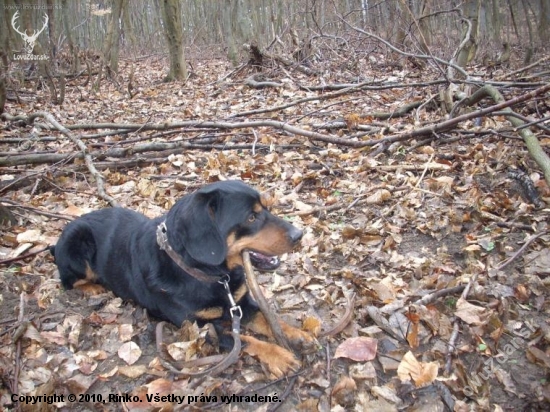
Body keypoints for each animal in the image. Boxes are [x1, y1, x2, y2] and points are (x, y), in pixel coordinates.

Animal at [51, 180, 314, 376]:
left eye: (266, 208)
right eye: (251, 217)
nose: (299, 234)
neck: (214, 276)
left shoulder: (240, 304)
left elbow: (268, 318)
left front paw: (296, 335)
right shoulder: (201, 327)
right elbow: (246, 339)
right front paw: (279, 355)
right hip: (77, 243)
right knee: (68, 281)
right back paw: (92, 288)